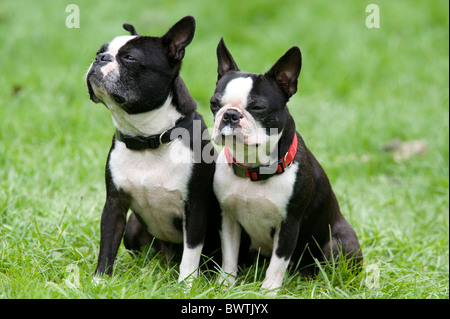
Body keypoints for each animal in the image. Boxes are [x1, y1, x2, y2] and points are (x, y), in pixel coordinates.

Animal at [86, 16, 220, 284]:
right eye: (99, 51)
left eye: (129, 58)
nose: (100, 58)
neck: (147, 139)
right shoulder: (114, 204)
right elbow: (107, 244)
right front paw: (99, 282)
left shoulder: (195, 209)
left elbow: (191, 253)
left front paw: (186, 285)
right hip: (132, 228)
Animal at [211, 38, 362, 292]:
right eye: (214, 104)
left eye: (258, 108)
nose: (230, 115)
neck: (254, 170)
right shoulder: (228, 219)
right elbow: (229, 256)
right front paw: (225, 285)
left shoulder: (289, 223)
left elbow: (278, 262)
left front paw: (268, 291)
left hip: (339, 243)